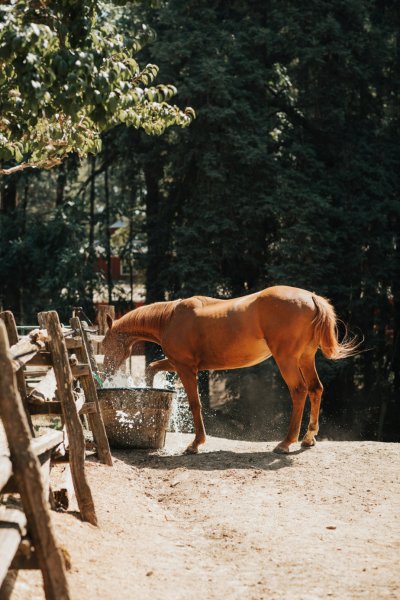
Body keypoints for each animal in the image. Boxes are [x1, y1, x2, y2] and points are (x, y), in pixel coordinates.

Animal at [101, 286, 356, 454]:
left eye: (105, 344)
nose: (106, 373)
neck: (170, 318)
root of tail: (311, 297)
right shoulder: (177, 363)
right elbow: (152, 368)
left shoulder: (185, 368)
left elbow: (195, 404)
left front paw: (196, 444)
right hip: (304, 358)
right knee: (315, 389)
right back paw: (308, 438)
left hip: (287, 360)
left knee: (299, 391)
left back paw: (286, 442)